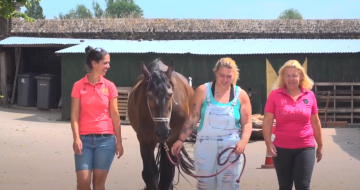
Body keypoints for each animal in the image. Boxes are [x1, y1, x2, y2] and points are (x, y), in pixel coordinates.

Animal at [126, 58, 194, 189]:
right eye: (149, 95)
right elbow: (149, 174)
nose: (163, 132)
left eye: (170, 94)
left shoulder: (172, 140)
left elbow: (167, 174)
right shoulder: (145, 140)